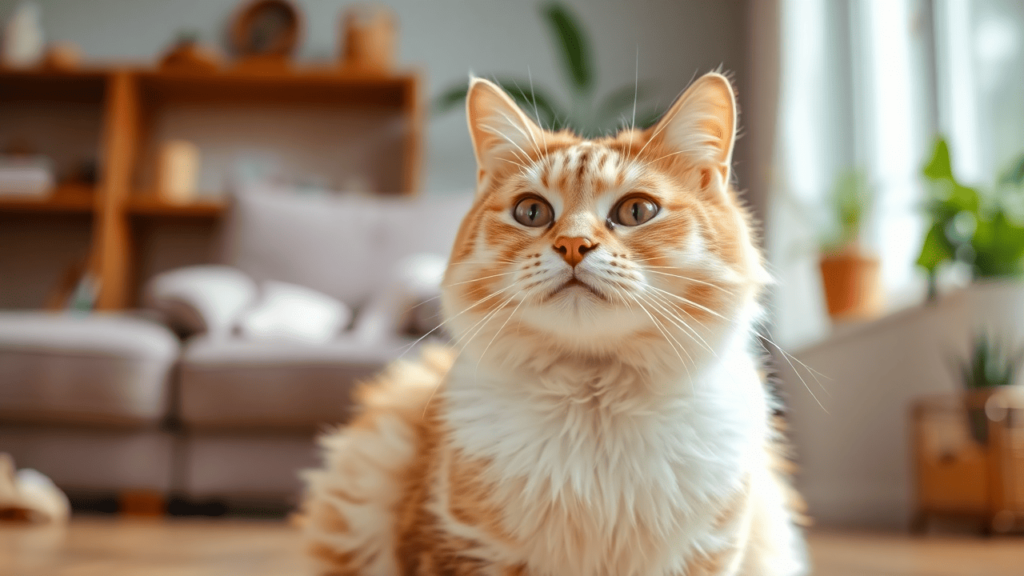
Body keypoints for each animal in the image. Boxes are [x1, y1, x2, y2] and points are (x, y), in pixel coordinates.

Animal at [301, 72, 806, 573]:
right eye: (532, 212)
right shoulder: (454, 546)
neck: (593, 405)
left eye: (637, 211)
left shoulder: (713, 552)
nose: (573, 245)